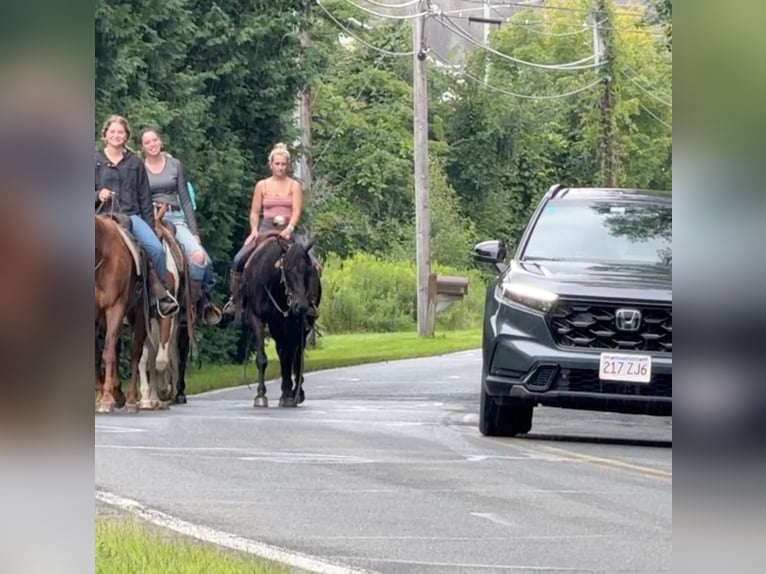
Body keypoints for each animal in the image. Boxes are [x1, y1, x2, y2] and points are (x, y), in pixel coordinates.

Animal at [95, 216, 148, 414]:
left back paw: (131, 400)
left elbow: (108, 351)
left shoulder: (115, 307)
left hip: (138, 316)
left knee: (135, 353)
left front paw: (106, 399)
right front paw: (102, 394)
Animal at [243, 235, 320, 410]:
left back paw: (296, 392)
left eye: (307, 271)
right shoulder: (257, 318)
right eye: (287, 270)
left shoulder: (288, 323)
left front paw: (287, 394)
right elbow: (263, 358)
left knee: (296, 356)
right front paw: (260, 395)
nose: (301, 306)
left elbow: (288, 357)